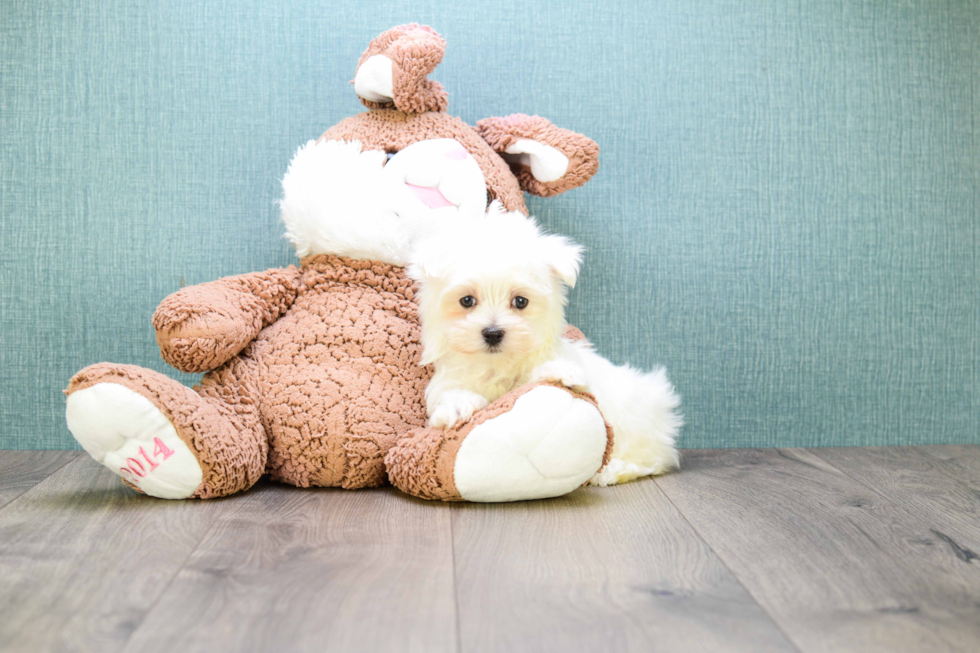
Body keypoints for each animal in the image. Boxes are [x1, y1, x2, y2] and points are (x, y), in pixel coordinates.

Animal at [406, 205, 680, 484]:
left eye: (520, 301)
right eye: (467, 300)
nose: (493, 333)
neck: (498, 363)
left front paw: (560, 372)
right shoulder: (451, 379)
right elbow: (451, 394)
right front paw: (456, 406)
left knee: (650, 459)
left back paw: (612, 470)